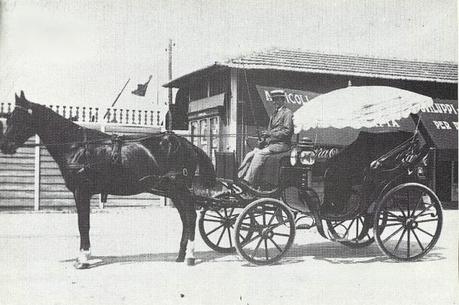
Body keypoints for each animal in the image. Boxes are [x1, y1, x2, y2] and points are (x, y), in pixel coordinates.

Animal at [0, 91, 217, 268]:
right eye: (9, 117)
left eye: (18, 118)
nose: (4, 146)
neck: (76, 146)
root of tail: (187, 144)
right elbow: (84, 224)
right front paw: (85, 256)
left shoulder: (82, 192)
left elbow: (83, 224)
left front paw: (83, 259)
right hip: (173, 191)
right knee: (185, 218)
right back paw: (180, 255)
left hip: (180, 189)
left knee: (191, 216)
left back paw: (190, 257)